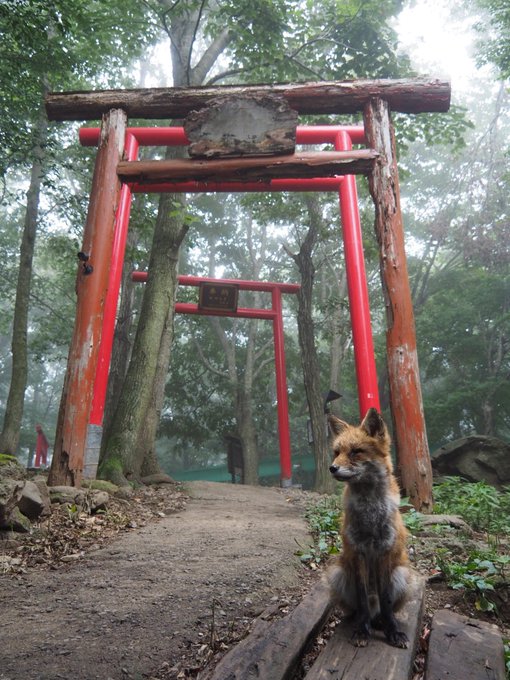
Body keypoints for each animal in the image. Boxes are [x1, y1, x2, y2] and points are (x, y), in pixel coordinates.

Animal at [326, 406, 410, 644]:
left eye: (356, 452)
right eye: (336, 452)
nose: (332, 468)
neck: (370, 512)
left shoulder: (384, 551)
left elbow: (386, 600)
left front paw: (392, 630)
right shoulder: (359, 552)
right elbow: (363, 599)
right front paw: (362, 630)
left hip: (402, 574)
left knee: (381, 609)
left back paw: (380, 622)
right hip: (338, 573)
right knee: (359, 609)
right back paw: (359, 621)